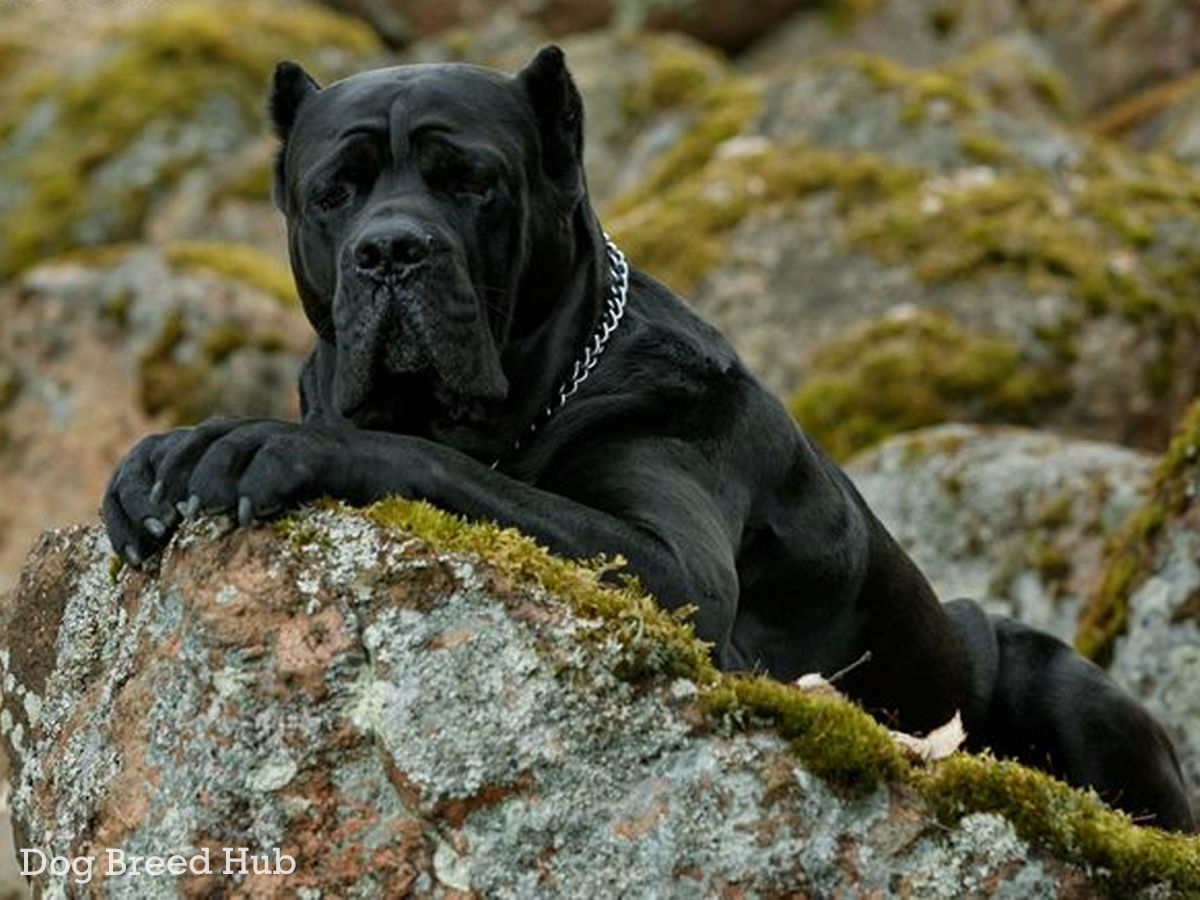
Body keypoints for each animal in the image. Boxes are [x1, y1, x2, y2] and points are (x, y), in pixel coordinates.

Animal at [103, 47, 1190, 830]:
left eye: (473, 182)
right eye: (336, 191)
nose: (392, 250)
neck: (534, 390)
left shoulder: (671, 571)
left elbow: (437, 462)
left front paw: (259, 441)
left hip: (1075, 691)